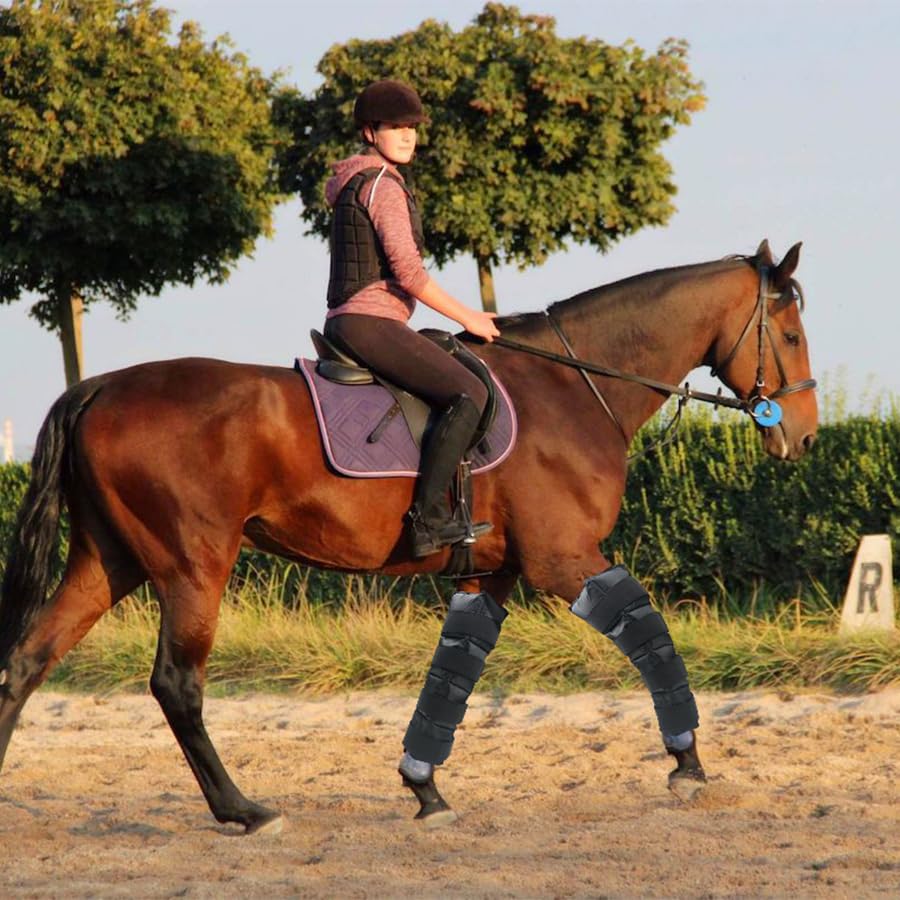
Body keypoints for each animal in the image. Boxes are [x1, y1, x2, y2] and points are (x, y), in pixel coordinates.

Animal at [0, 240, 817, 834]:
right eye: (790, 333)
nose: (804, 438)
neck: (574, 386)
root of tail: (97, 387)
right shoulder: (564, 560)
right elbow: (651, 637)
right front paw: (688, 763)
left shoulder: (489, 573)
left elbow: (453, 674)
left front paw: (424, 788)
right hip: (191, 567)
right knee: (176, 684)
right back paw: (244, 810)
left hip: (111, 561)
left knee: (27, 660)